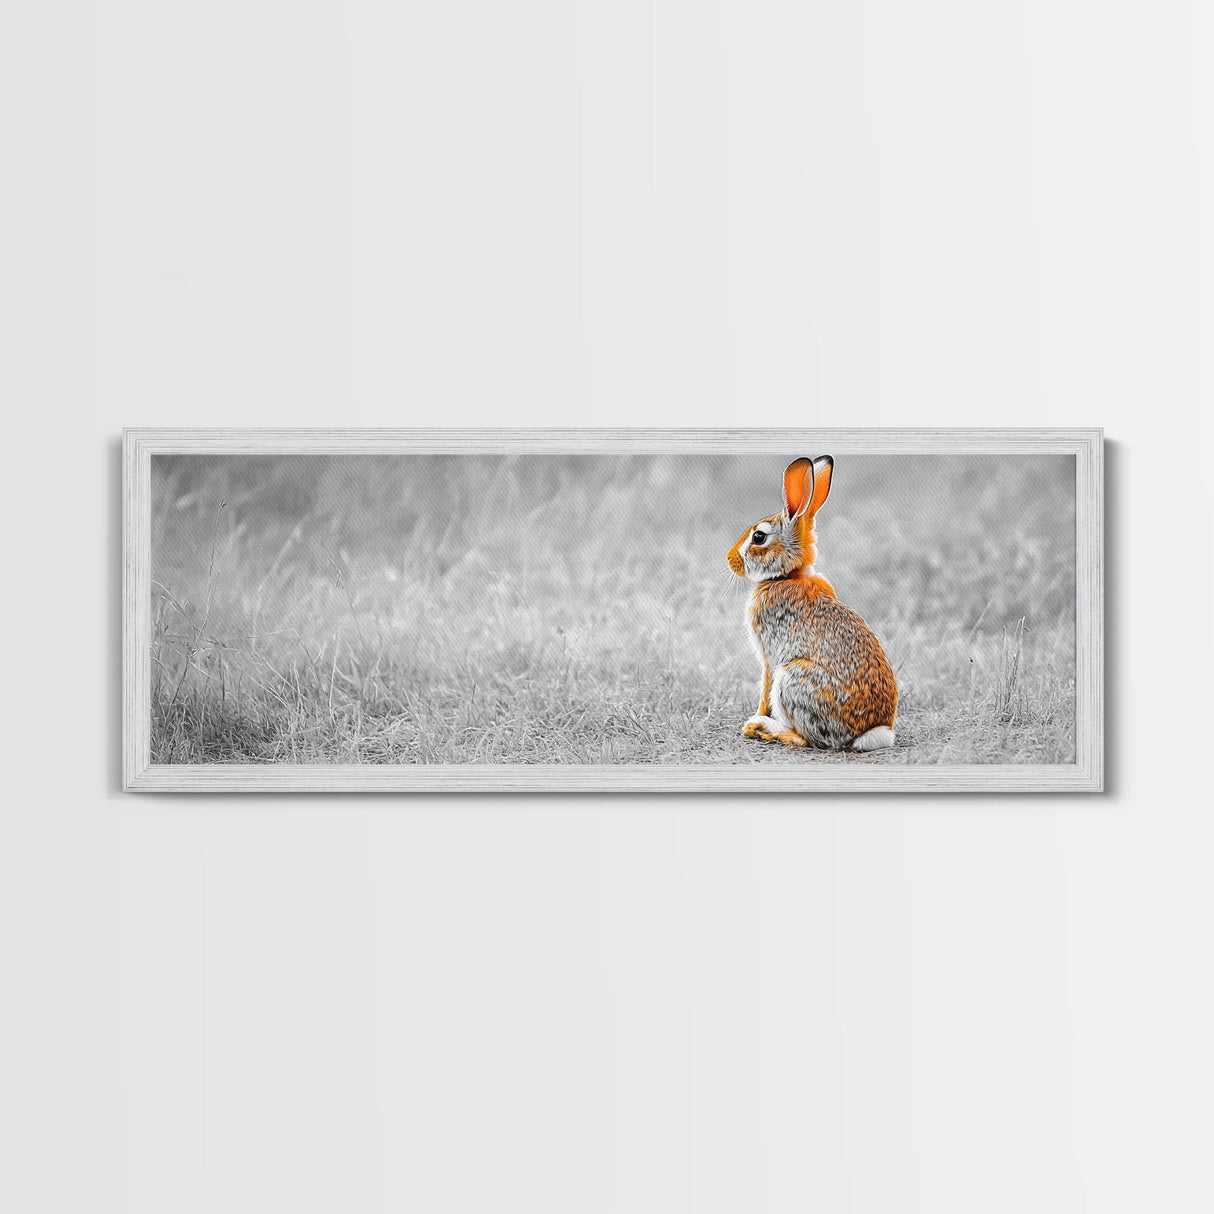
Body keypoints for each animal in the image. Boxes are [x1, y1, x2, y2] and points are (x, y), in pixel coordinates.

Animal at [726, 456, 898, 751]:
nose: (729, 559)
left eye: (759, 537)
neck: (788, 575)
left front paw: (755, 717)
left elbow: (764, 689)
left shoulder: (769, 657)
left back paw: (762, 728)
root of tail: (871, 733)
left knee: (807, 739)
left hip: (791, 679)